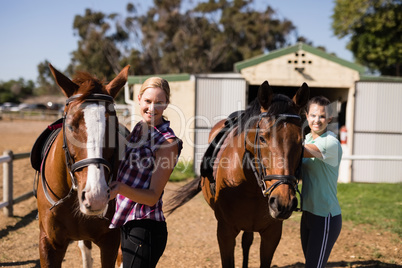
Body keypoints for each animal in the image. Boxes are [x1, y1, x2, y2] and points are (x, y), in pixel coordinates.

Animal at [165, 81, 310, 268]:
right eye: (262, 138)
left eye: (301, 140)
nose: (283, 202)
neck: (250, 185)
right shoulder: (225, 232)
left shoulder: (272, 234)